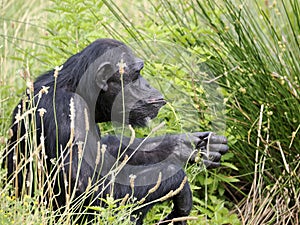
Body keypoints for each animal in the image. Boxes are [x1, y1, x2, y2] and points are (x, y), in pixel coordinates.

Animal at [6, 37, 227, 224]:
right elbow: (85, 195)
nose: (147, 83)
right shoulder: (67, 114)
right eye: (137, 74)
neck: (80, 90)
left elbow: (109, 152)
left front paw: (184, 146)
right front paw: (175, 178)